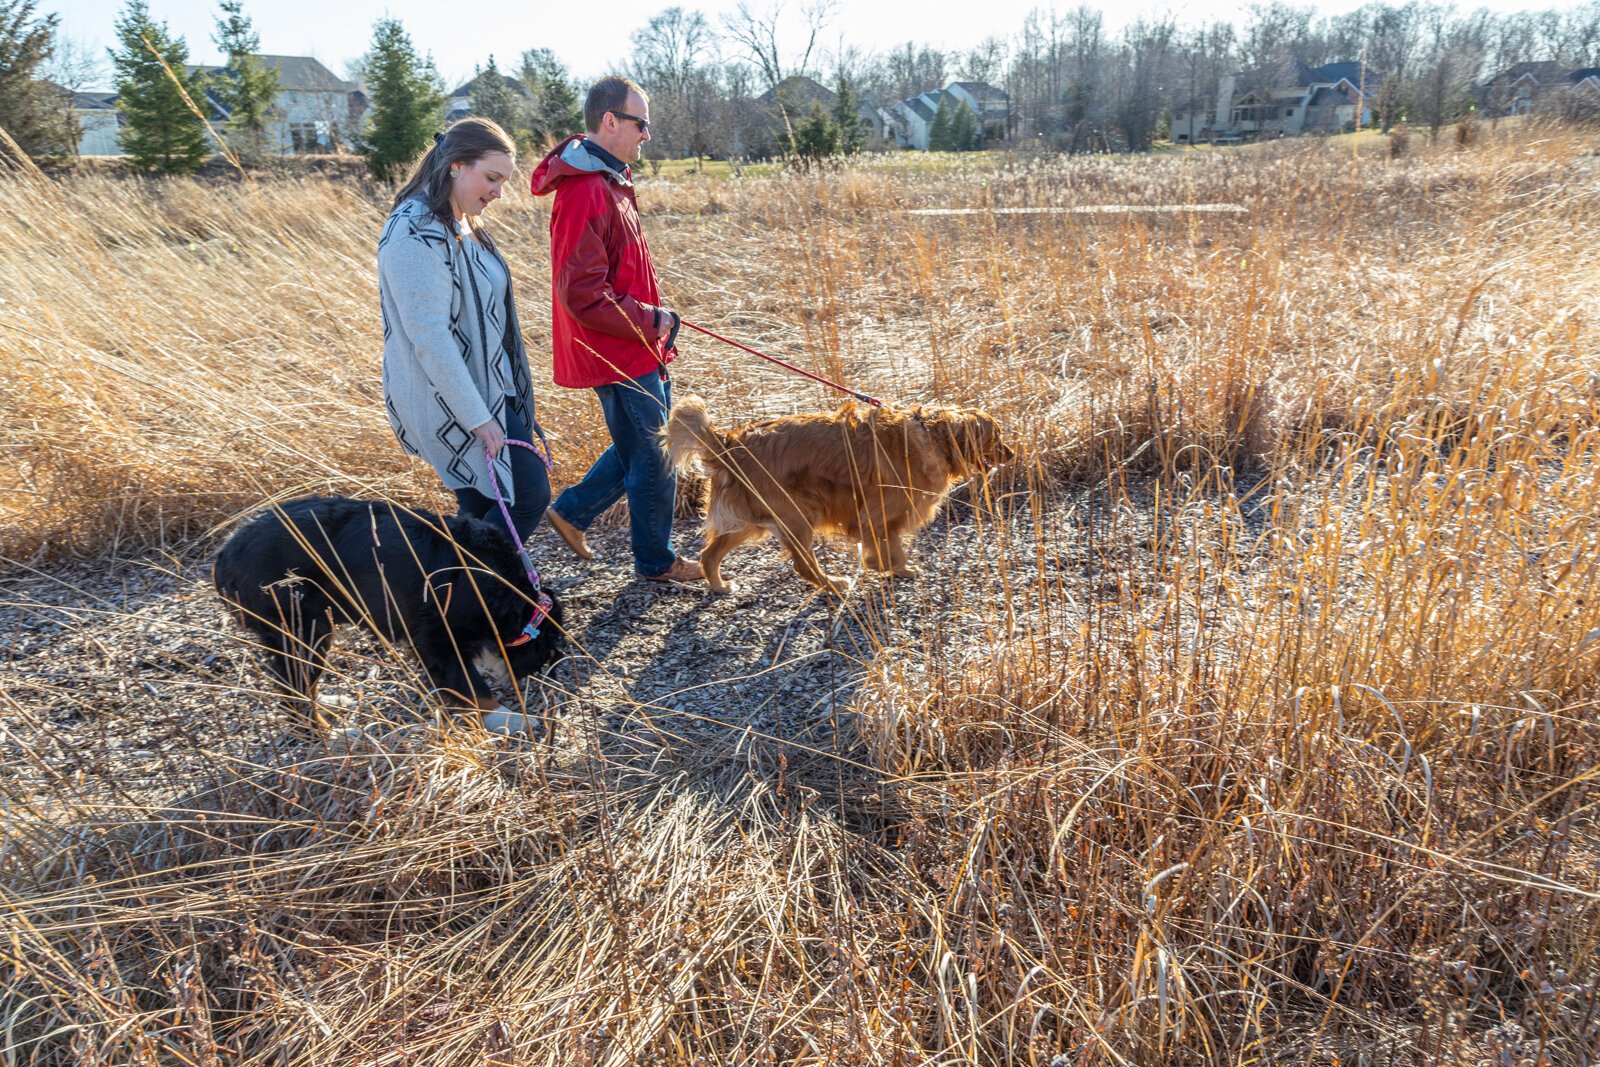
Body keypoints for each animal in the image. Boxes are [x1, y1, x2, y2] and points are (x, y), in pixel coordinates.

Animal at [212, 499, 563, 735]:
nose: (551, 669)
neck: (500, 584)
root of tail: (223, 556)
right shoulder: (436, 638)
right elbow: (473, 687)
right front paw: (509, 718)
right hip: (305, 629)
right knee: (294, 693)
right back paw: (334, 735)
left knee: (302, 686)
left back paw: (330, 700)